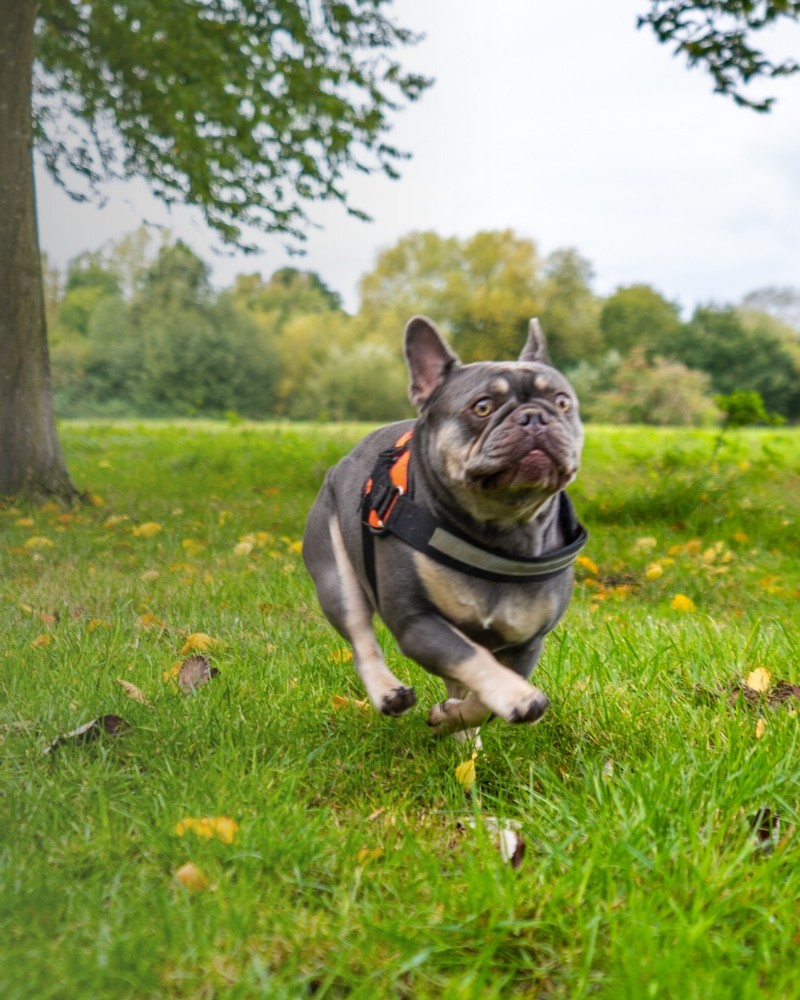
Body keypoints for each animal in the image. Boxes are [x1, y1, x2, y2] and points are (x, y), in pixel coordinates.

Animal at [302, 316, 588, 740]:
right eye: (482, 407)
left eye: (563, 402)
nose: (535, 416)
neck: (501, 525)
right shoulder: (418, 623)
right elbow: (471, 659)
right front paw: (519, 698)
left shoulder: (526, 642)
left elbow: (481, 701)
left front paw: (455, 716)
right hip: (336, 575)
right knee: (360, 636)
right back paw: (389, 693)